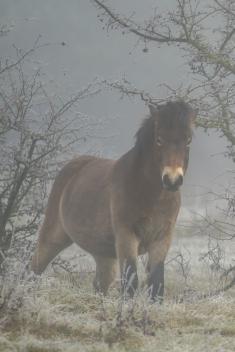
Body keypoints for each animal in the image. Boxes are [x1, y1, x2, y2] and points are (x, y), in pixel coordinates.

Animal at [31, 101, 196, 300]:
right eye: (159, 139)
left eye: (188, 140)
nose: (172, 180)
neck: (150, 195)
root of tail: (73, 166)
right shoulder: (126, 237)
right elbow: (130, 282)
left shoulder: (162, 239)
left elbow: (156, 284)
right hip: (53, 237)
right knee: (35, 267)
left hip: (103, 254)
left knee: (100, 284)